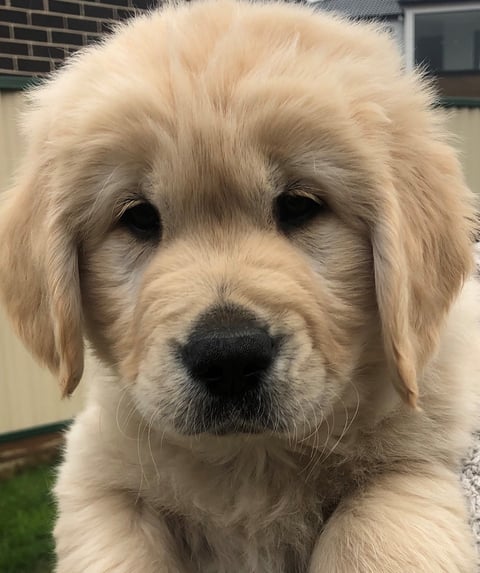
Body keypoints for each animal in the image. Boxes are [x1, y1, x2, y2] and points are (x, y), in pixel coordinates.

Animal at [0, 1, 480, 572]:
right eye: (138, 217)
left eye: (299, 205)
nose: (228, 358)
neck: (251, 457)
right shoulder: (101, 478)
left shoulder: (415, 459)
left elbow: (371, 532)